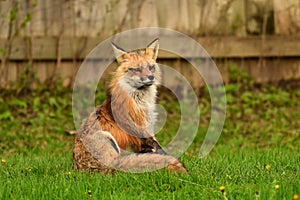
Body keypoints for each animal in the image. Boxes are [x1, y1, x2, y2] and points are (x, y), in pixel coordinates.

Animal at [72, 38, 186, 173]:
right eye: (136, 69)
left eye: (151, 67)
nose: (151, 77)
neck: (140, 102)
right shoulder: (140, 130)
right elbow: (160, 150)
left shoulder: (147, 129)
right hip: (106, 137)